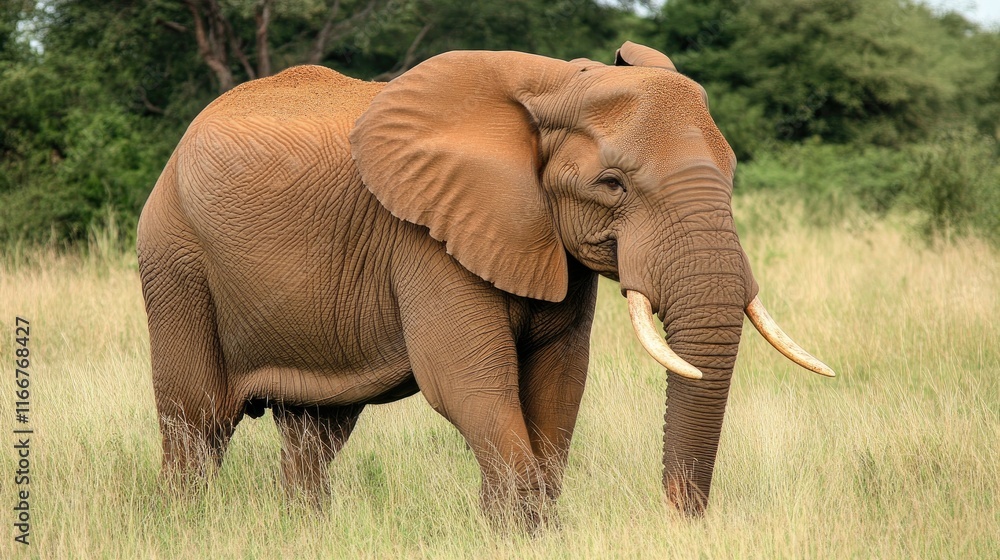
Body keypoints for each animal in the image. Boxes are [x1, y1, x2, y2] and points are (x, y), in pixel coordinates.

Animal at [136, 41, 833, 523]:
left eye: (732, 171)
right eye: (612, 184)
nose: (676, 519)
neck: (556, 83)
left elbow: (558, 382)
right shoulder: (426, 237)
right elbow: (470, 387)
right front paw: (522, 534)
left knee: (316, 433)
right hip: (175, 258)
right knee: (196, 423)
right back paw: (183, 526)